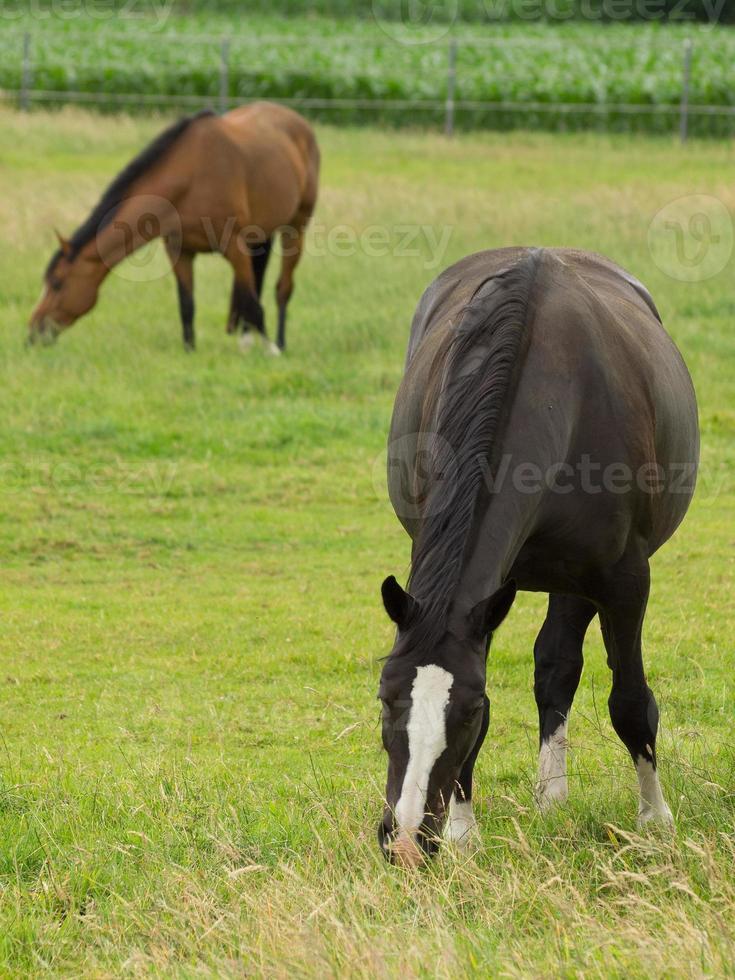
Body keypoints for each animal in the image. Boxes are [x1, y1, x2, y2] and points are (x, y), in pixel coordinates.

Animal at [28, 99, 320, 350]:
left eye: (57, 283)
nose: (32, 333)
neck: (192, 177)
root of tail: (299, 122)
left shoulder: (235, 248)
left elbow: (252, 301)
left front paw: (271, 350)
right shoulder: (179, 251)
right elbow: (187, 305)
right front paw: (190, 350)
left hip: (295, 227)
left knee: (282, 288)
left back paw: (279, 342)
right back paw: (246, 341)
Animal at [380, 249, 700, 868]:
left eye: (466, 711)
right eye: (385, 700)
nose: (405, 841)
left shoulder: (623, 580)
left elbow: (630, 702)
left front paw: (655, 821)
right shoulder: (479, 599)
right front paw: (465, 833)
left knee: (561, 667)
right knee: (554, 667)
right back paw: (550, 796)